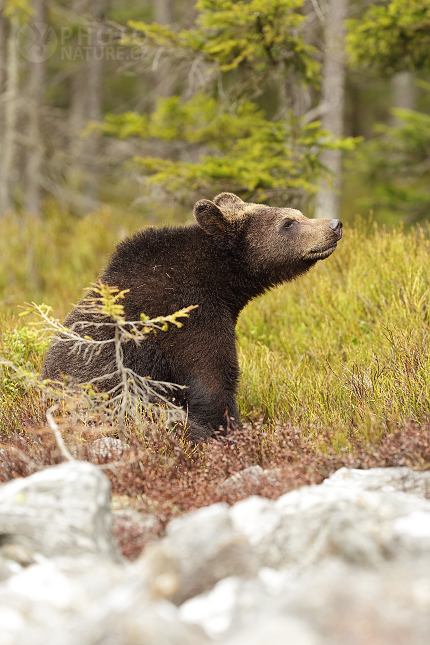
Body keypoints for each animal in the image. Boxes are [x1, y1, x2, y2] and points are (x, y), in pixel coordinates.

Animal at [42, 191, 342, 440]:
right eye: (288, 223)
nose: (334, 225)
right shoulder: (187, 318)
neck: (221, 282)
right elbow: (211, 379)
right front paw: (228, 430)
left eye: (299, 214)